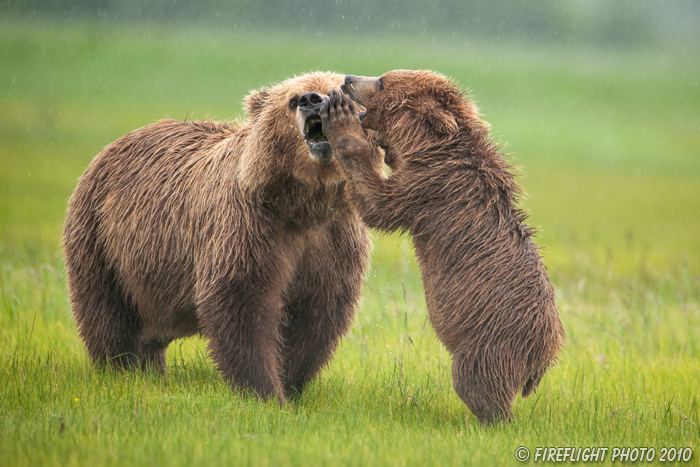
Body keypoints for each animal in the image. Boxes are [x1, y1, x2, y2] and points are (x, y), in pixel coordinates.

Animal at [63, 72, 372, 406]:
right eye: (292, 99)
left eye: (337, 90)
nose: (311, 100)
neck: (302, 204)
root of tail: (110, 147)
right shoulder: (248, 227)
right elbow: (242, 302)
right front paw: (264, 392)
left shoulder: (333, 239)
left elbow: (316, 314)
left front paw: (289, 386)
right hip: (103, 240)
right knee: (107, 314)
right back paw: (121, 370)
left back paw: (150, 370)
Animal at [320, 70, 568, 424]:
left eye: (383, 81)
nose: (348, 79)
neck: (427, 147)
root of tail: (547, 353)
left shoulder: (429, 186)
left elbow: (380, 203)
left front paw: (341, 123)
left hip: (492, 341)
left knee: (476, 383)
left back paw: (491, 419)